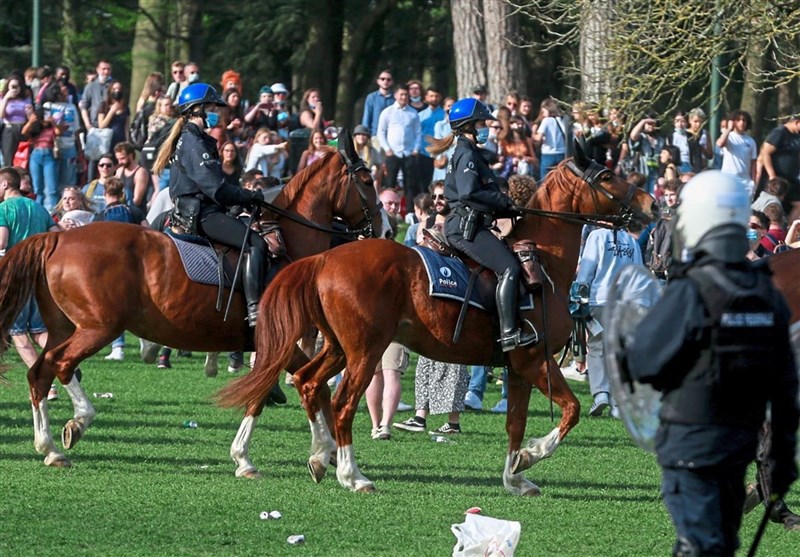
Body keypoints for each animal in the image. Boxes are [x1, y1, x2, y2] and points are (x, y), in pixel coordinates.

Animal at [0, 132, 384, 472]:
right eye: (366, 180)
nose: (383, 228)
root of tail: (58, 237)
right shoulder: (279, 342)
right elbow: (268, 394)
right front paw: (250, 459)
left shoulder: (282, 346)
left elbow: (306, 389)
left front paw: (325, 452)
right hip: (97, 329)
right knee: (60, 364)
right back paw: (79, 421)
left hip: (65, 328)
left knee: (39, 373)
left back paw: (50, 449)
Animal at [219, 151, 656, 496]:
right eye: (606, 176)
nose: (651, 204)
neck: (544, 262)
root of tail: (326, 257)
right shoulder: (535, 361)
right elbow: (571, 410)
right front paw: (532, 456)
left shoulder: (518, 368)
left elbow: (515, 424)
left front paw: (515, 476)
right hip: (365, 352)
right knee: (342, 403)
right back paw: (351, 474)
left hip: (339, 348)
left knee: (310, 384)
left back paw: (318, 457)